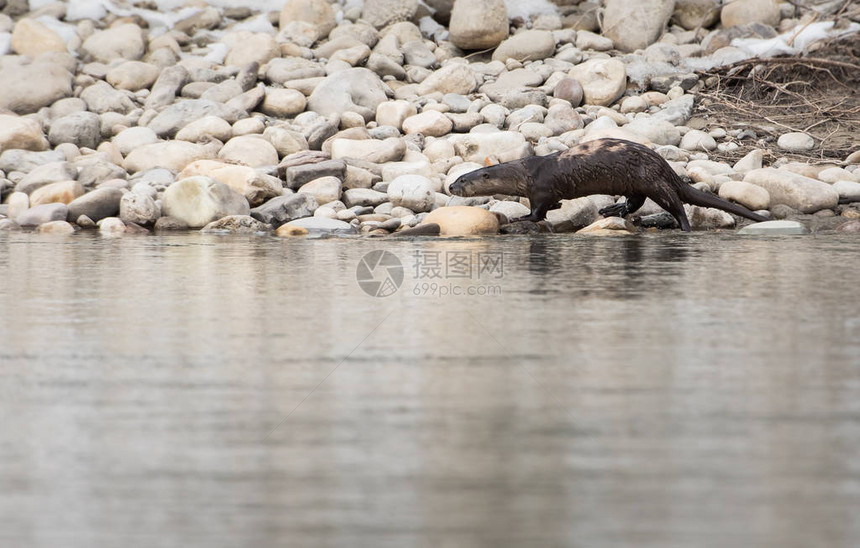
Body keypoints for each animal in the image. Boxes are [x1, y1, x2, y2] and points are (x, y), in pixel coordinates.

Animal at [450, 139, 764, 231]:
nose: (451, 187)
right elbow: (553, 206)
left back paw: (684, 228)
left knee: (675, 203)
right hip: (638, 183)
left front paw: (521, 218)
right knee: (635, 202)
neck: (526, 172)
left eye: (463, 179)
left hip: (653, 181)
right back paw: (613, 211)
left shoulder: (540, 189)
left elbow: (538, 212)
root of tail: (664, 165)